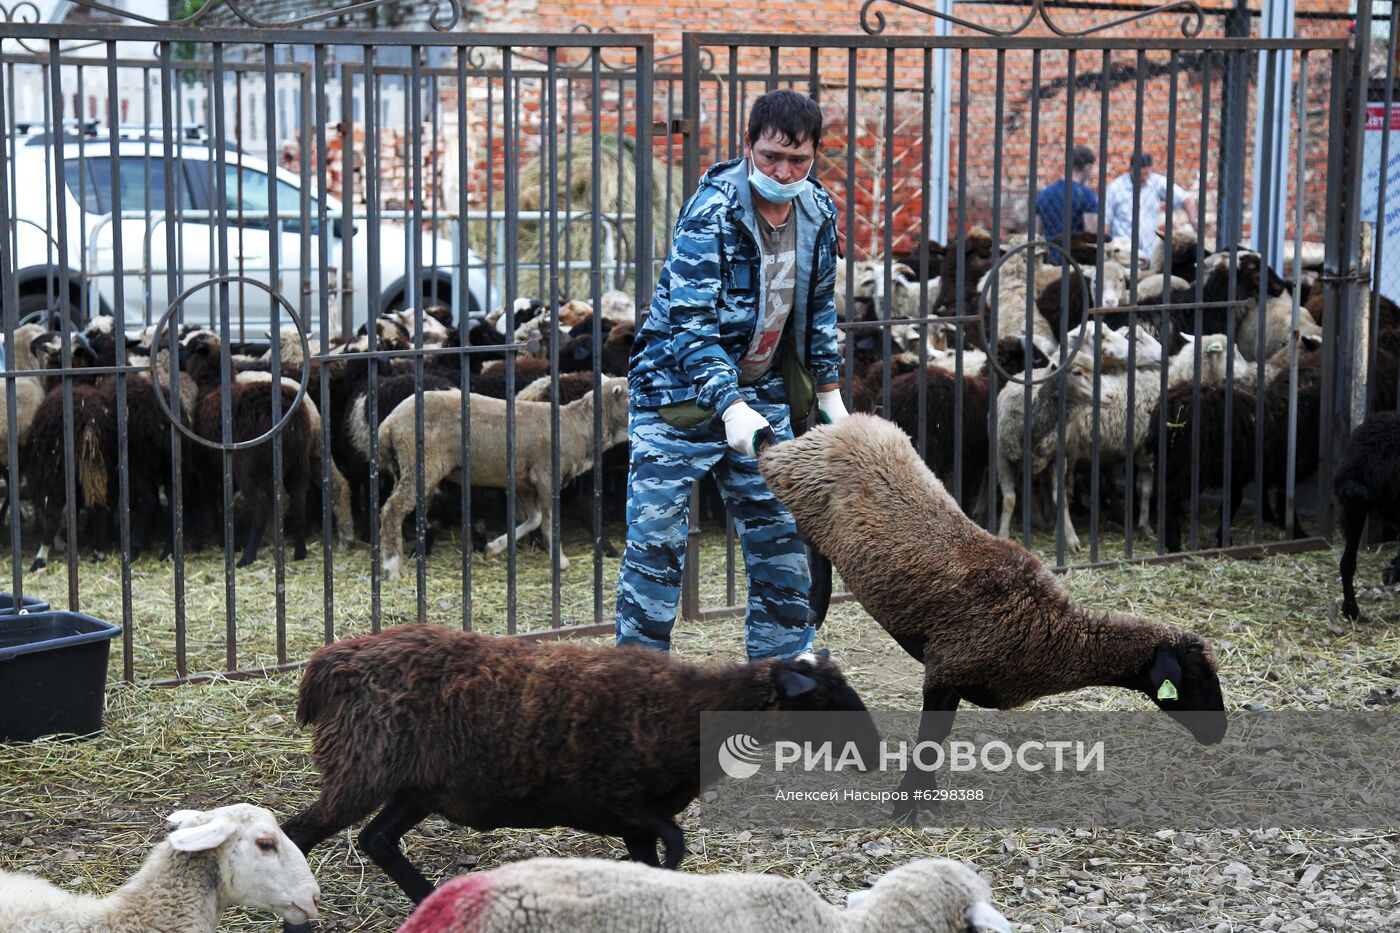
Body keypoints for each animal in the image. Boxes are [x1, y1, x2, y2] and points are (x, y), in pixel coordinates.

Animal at [275, 616, 873, 907]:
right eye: (823, 700)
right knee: (300, 833)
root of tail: (331, 663)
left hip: (417, 787)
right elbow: (675, 843)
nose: (869, 751)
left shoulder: (634, 820)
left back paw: (430, 900)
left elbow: (652, 860)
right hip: (362, 769)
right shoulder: (618, 800)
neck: (690, 708)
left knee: (377, 839)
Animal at [756, 414, 1226, 812]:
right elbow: (931, 739)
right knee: (768, 457)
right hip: (792, 473)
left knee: (813, 544)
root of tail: (844, 425)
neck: (1051, 629)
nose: (1220, 733)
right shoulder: (947, 669)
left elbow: (938, 741)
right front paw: (907, 806)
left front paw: (924, 799)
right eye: (1196, 677)